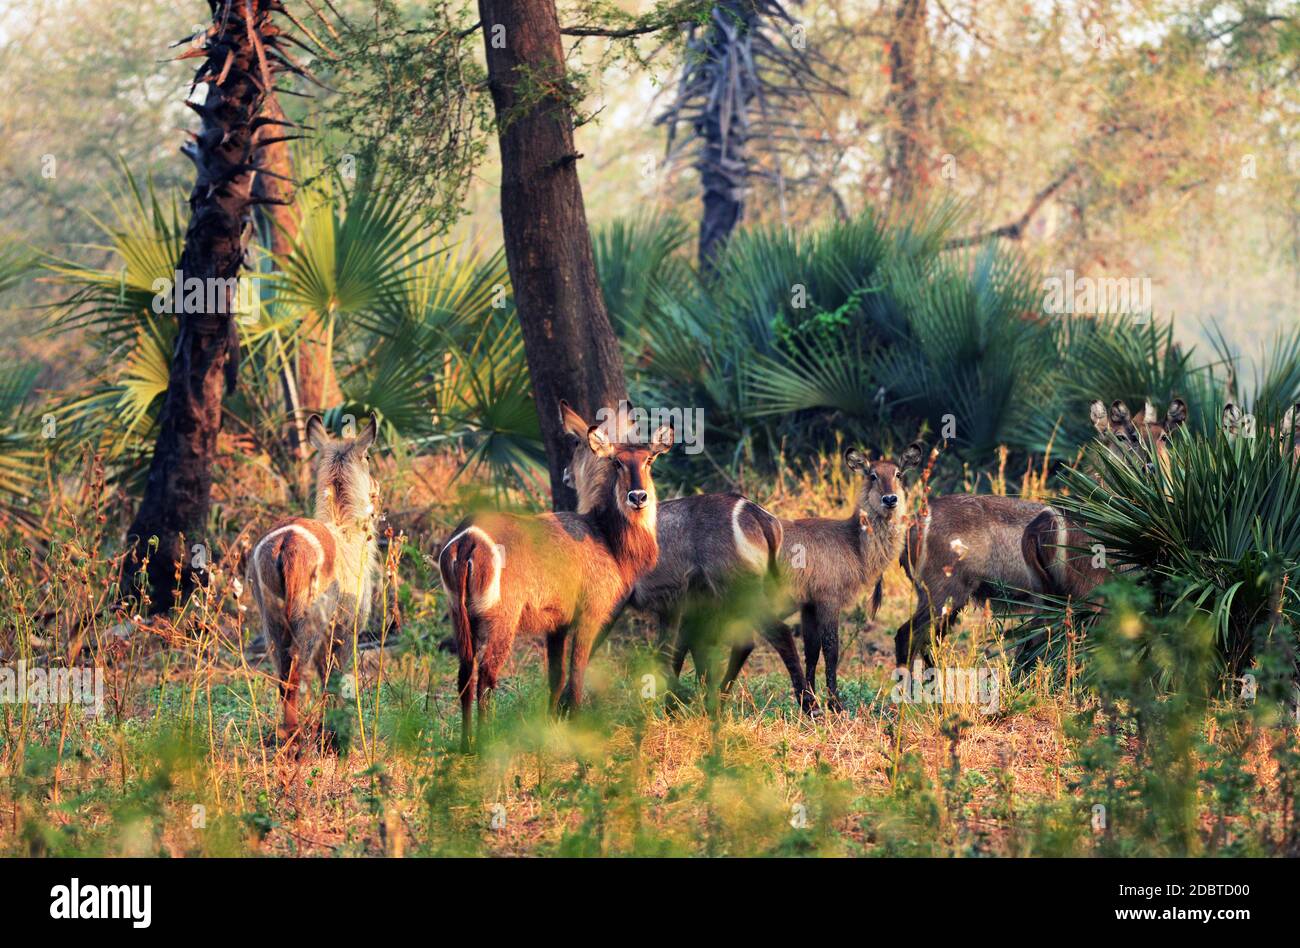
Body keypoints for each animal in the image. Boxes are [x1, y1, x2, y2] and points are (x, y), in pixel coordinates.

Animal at [245, 413, 379, 749]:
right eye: (369, 457)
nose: (376, 488)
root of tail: (286, 541)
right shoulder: (346, 628)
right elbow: (337, 677)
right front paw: (336, 738)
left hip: (271, 621)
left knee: (281, 678)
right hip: (306, 620)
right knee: (293, 678)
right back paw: (294, 742)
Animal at [441, 400, 676, 754]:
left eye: (649, 459)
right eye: (618, 462)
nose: (638, 497)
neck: (605, 535)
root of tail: (468, 536)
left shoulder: (556, 624)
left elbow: (556, 677)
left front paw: (551, 729)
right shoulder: (590, 614)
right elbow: (577, 673)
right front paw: (576, 729)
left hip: (460, 616)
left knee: (465, 673)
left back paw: (465, 744)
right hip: (502, 619)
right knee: (487, 675)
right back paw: (484, 743)